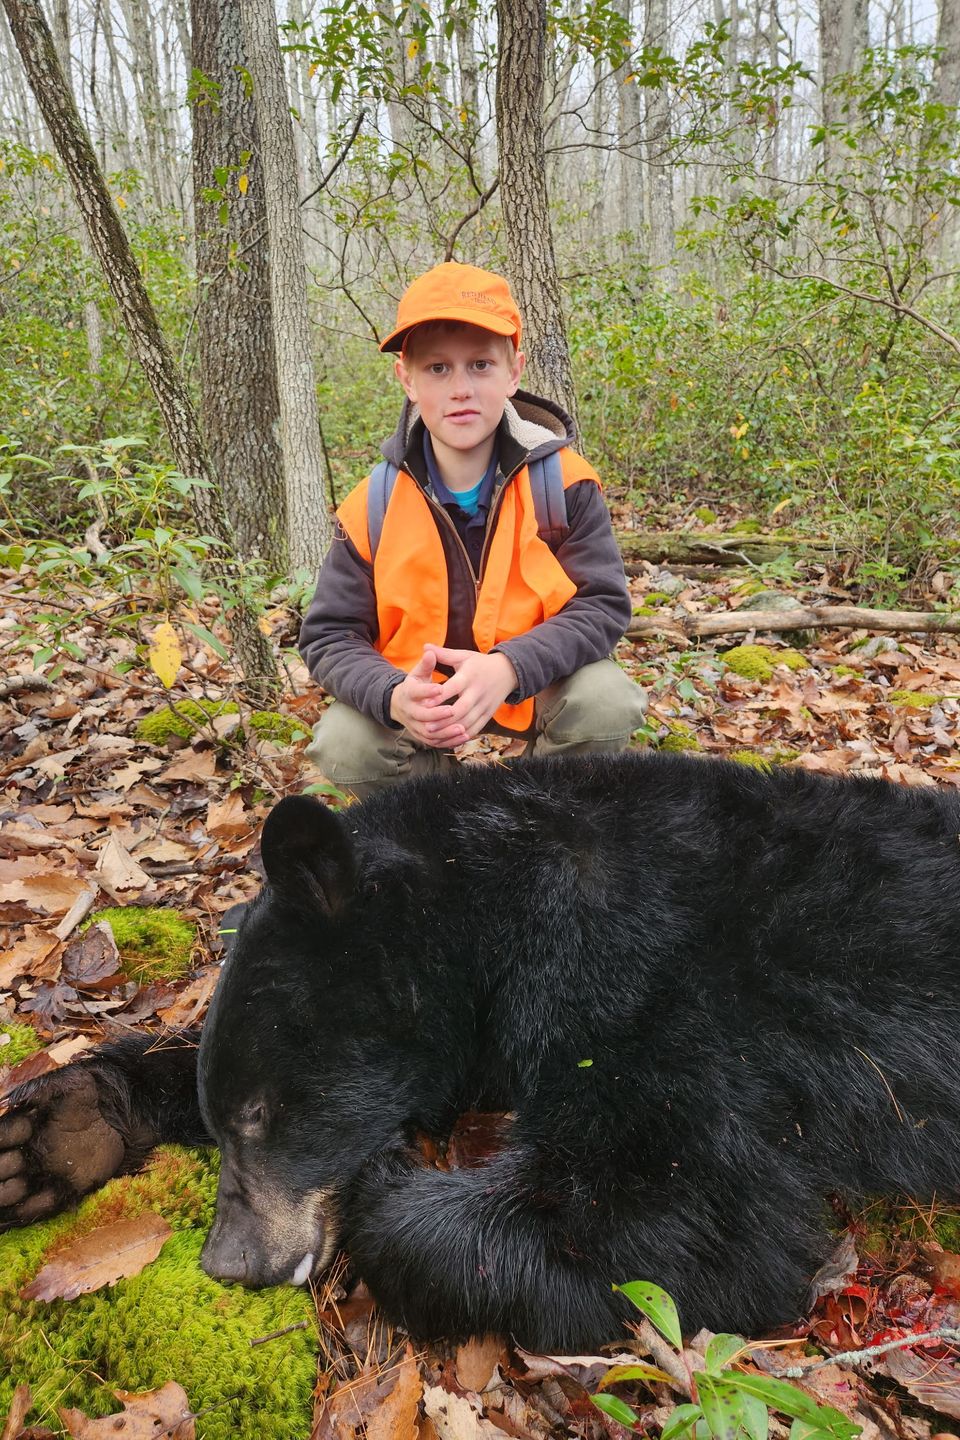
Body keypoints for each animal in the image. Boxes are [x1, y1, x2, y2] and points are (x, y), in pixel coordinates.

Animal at [3, 749, 960, 1352]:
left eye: (264, 1111)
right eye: (227, 1110)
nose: (229, 1264)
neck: (500, 902)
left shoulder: (649, 986)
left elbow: (689, 1214)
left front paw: (388, 1182)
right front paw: (55, 1132)